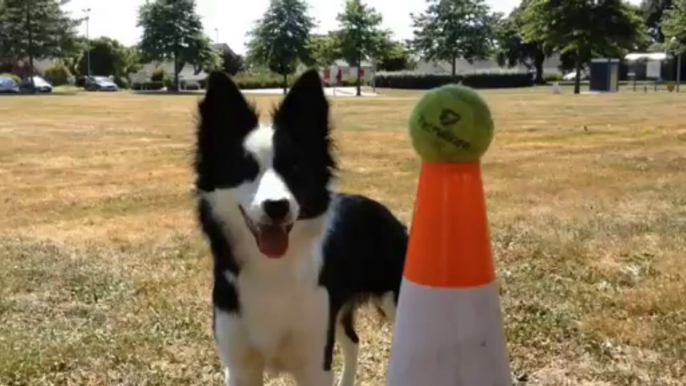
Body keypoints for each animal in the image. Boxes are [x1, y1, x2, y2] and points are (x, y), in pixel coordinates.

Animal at [194, 70, 408, 386]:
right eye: (244, 169)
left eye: (294, 167)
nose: (277, 206)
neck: (272, 271)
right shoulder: (240, 366)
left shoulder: (314, 362)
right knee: (353, 341)